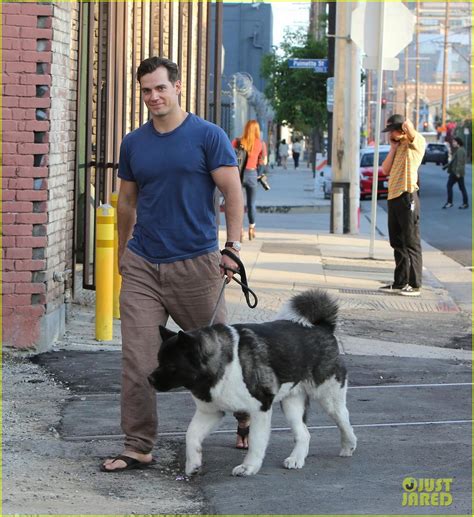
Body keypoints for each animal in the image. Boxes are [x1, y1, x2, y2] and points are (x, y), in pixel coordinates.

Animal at [148, 288, 356, 474]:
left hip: (328, 396)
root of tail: (323, 328)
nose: (149, 379)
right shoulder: (209, 412)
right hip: (291, 403)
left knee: (344, 418)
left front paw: (249, 467)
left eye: (170, 365)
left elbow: (256, 441)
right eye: (158, 360)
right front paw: (193, 464)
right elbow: (190, 435)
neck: (226, 363)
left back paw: (349, 445)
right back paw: (296, 459)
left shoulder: (260, 409)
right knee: (304, 433)